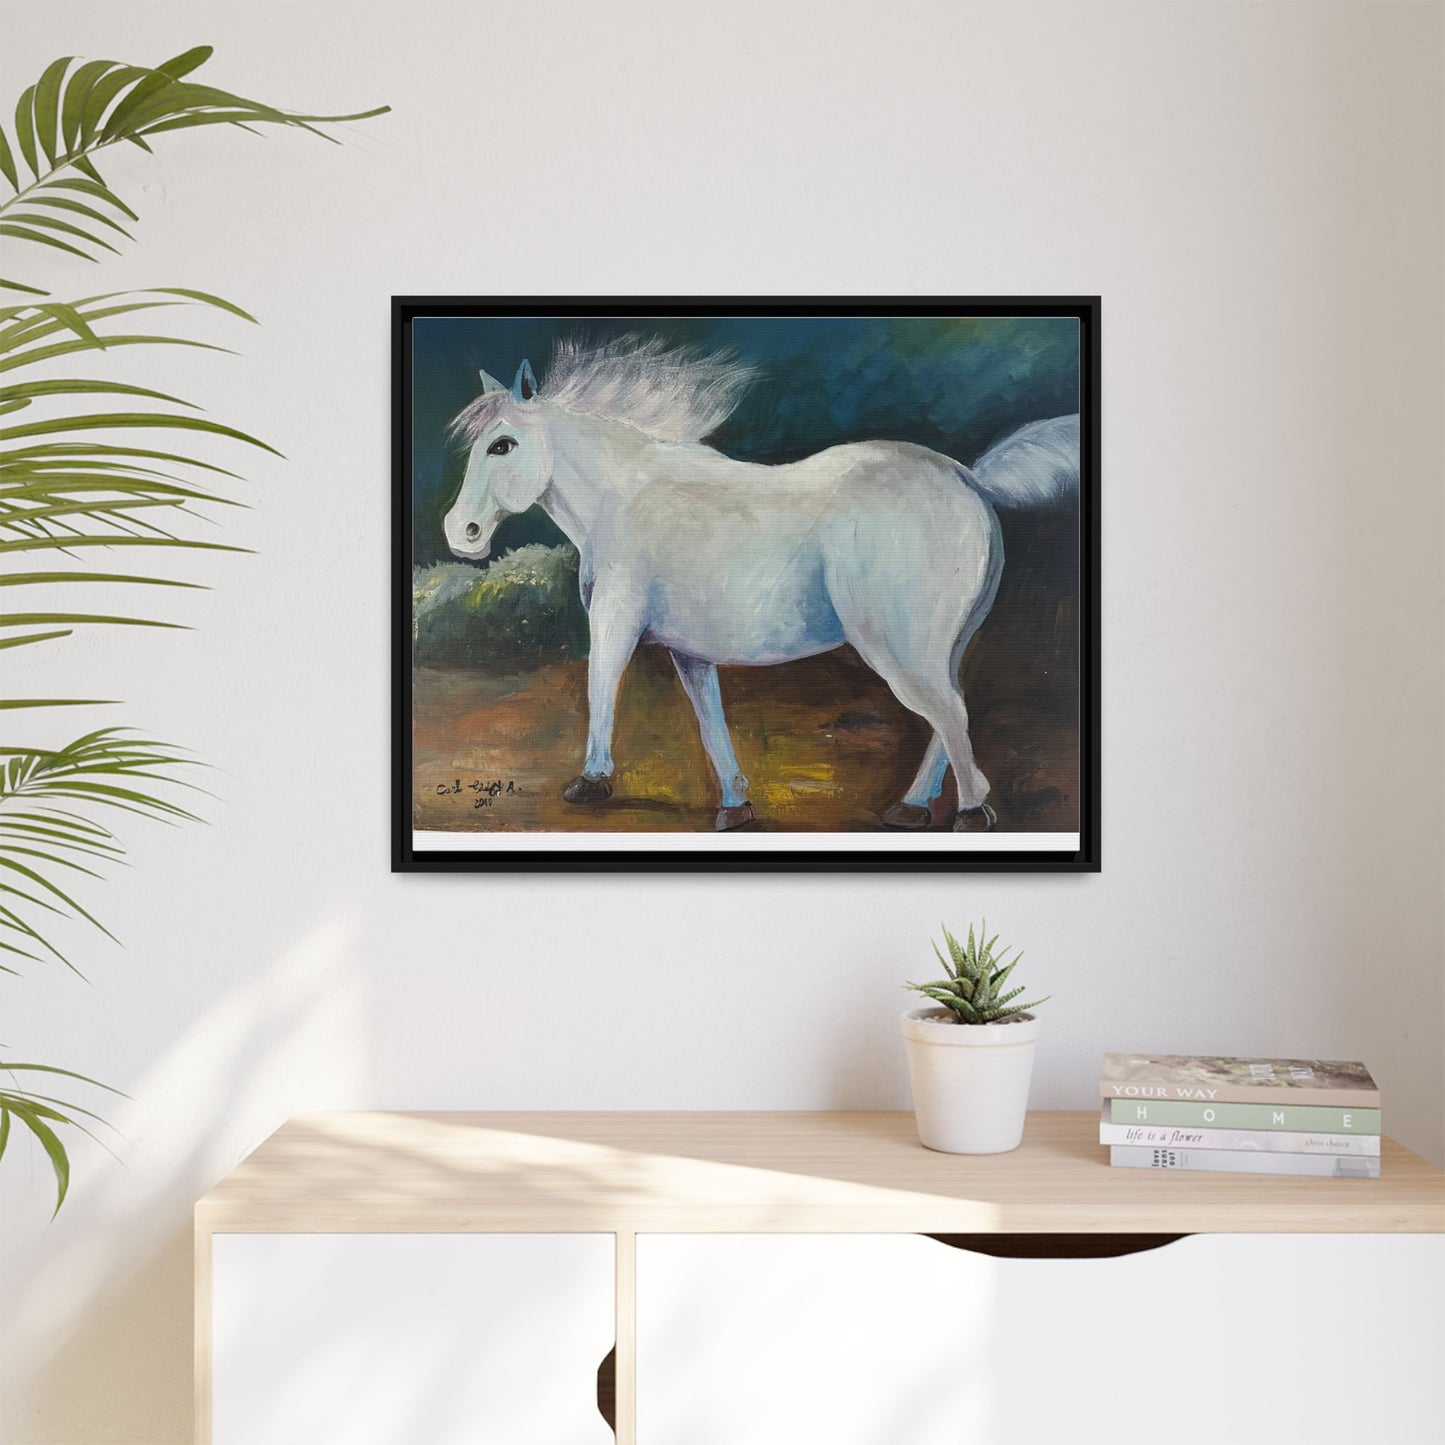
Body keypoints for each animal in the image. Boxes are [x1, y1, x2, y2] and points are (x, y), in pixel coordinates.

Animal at [442, 336, 1078, 832]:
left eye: (502, 444)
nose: (460, 532)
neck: (623, 498)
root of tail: (967, 477)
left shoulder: (615, 621)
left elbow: (601, 684)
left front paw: (591, 783)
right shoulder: (689, 651)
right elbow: (710, 721)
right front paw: (735, 805)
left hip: (899, 647)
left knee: (949, 714)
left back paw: (969, 812)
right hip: (941, 645)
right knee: (951, 714)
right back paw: (913, 808)